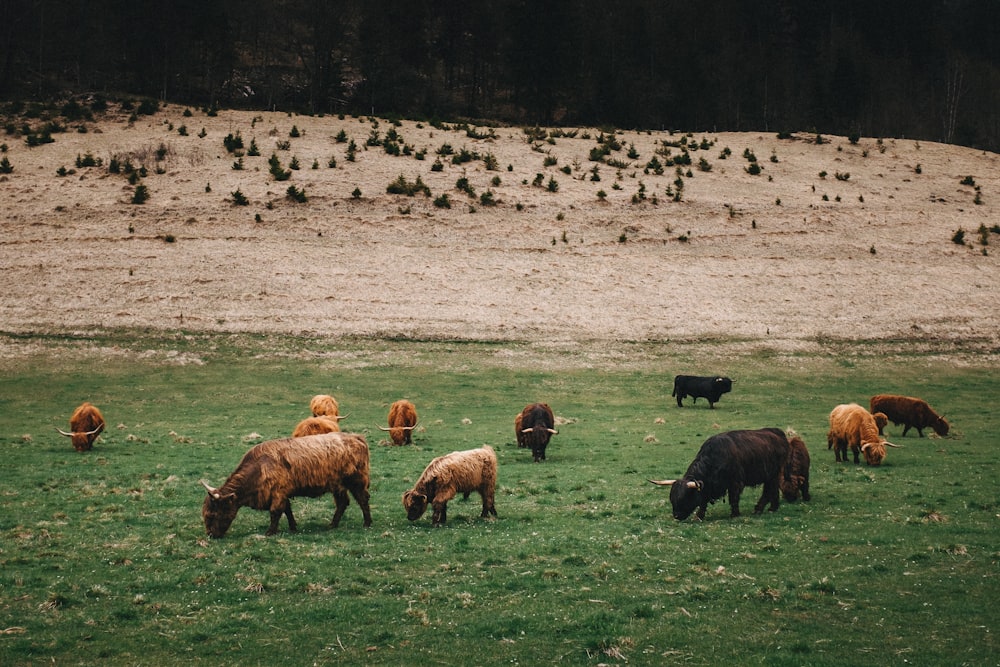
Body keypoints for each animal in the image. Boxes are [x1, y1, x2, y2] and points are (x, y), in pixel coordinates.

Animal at [201, 434, 374, 536]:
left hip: (356, 481)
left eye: (212, 515)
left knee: (363, 499)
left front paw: (270, 532)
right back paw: (332, 524)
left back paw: (367, 523)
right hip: (338, 485)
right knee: (342, 503)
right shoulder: (283, 493)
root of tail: (356, 437)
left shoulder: (278, 492)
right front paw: (293, 527)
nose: (210, 535)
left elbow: (276, 512)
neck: (258, 468)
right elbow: (287, 510)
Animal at [648, 428, 788, 520]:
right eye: (672, 498)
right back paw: (772, 508)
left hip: (773, 474)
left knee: (769, 489)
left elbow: (733, 499)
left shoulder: (735, 483)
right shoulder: (707, 486)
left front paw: (735, 514)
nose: (677, 516)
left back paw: (761, 509)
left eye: (685, 498)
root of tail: (777, 432)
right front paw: (699, 516)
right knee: (773, 489)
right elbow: (703, 501)